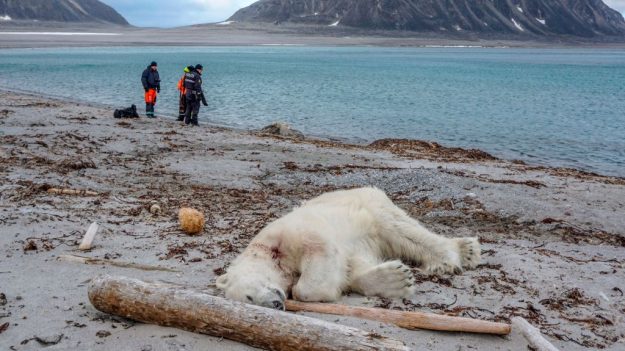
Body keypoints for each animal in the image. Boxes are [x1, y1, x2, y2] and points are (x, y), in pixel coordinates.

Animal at [217, 188, 480, 310]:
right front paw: (396, 279)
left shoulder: (290, 233)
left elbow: (318, 255)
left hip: (371, 207)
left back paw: (456, 254)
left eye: (249, 296)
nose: (275, 304)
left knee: (402, 230)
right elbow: (352, 268)